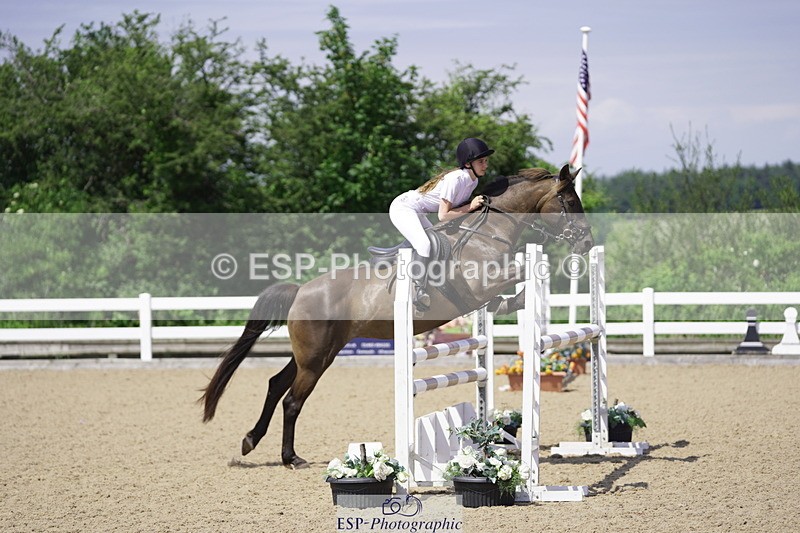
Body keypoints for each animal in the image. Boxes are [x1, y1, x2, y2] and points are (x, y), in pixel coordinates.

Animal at [200, 164, 594, 468]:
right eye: (570, 202)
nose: (587, 243)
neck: (487, 234)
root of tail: (301, 291)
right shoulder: (482, 283)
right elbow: (522, 273)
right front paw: (530, 292)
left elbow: (507, 293)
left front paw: (517, 301)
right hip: (315, 358)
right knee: (292, 400)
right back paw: (290, 457)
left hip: (315, 353)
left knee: (276, 384)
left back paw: (252, 441)